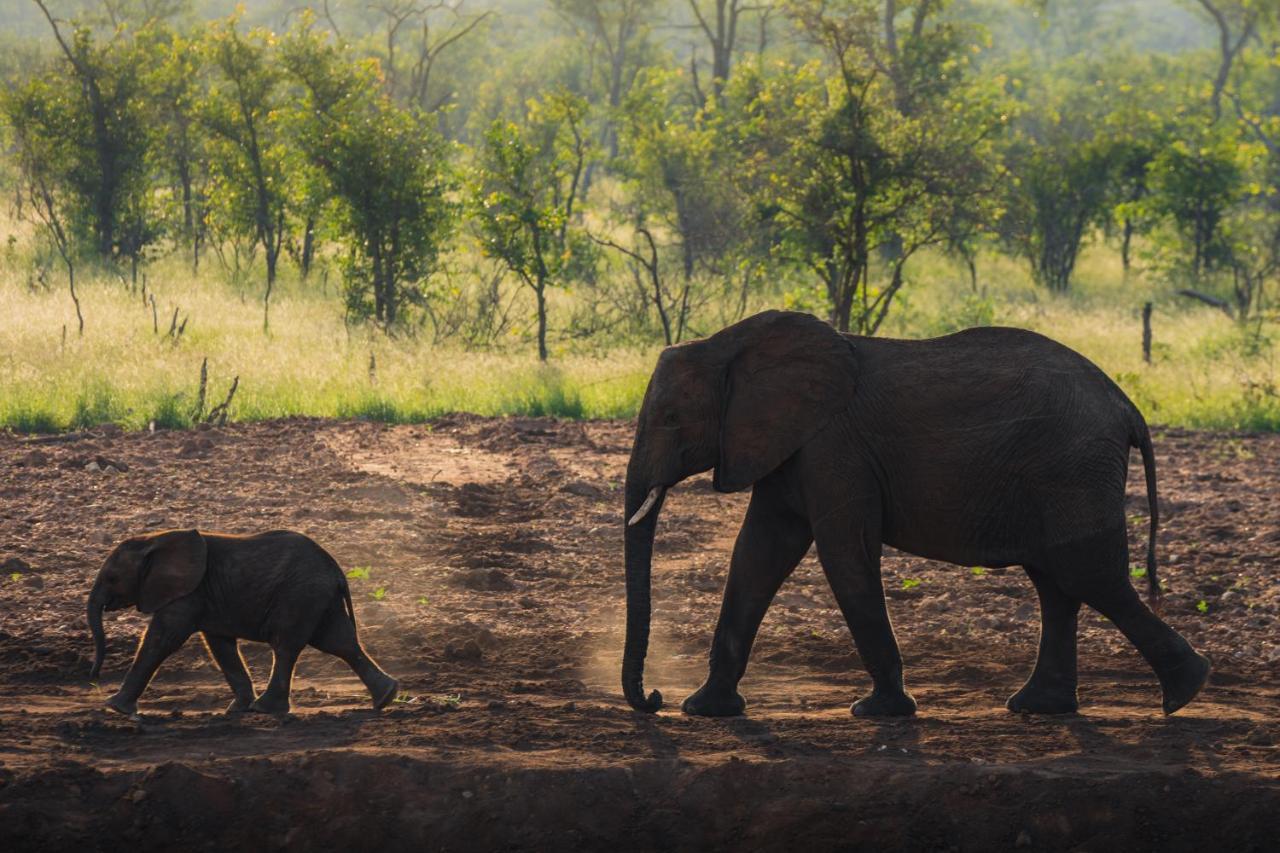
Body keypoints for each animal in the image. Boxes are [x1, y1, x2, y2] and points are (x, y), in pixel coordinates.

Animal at [88, 527, 396, 712]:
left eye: (112, 578)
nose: (94, 677)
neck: (152, 540)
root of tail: (337, 570)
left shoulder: (189, 592)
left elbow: (162, 639)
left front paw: (113, 706)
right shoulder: (206, 597)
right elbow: (220, 646)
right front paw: (236, 710)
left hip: (300, 595)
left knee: (287, 645)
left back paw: (265, 709)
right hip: (318, 598)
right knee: (340, 642)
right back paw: (386, 697)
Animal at [624, 308, 1213, 712]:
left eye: (671, 418)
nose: (653, 698)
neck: (727, 343)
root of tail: (1128, 407)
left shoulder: (834, 448)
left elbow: (844, 556)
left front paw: (879, 712)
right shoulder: (787, 445)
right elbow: (757, 556)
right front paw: (704, 710)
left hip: (1072, 468)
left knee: (1086, 574)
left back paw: (1185, 692)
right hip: (1061, 473)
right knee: (1057, 583)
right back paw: (1040, 708)